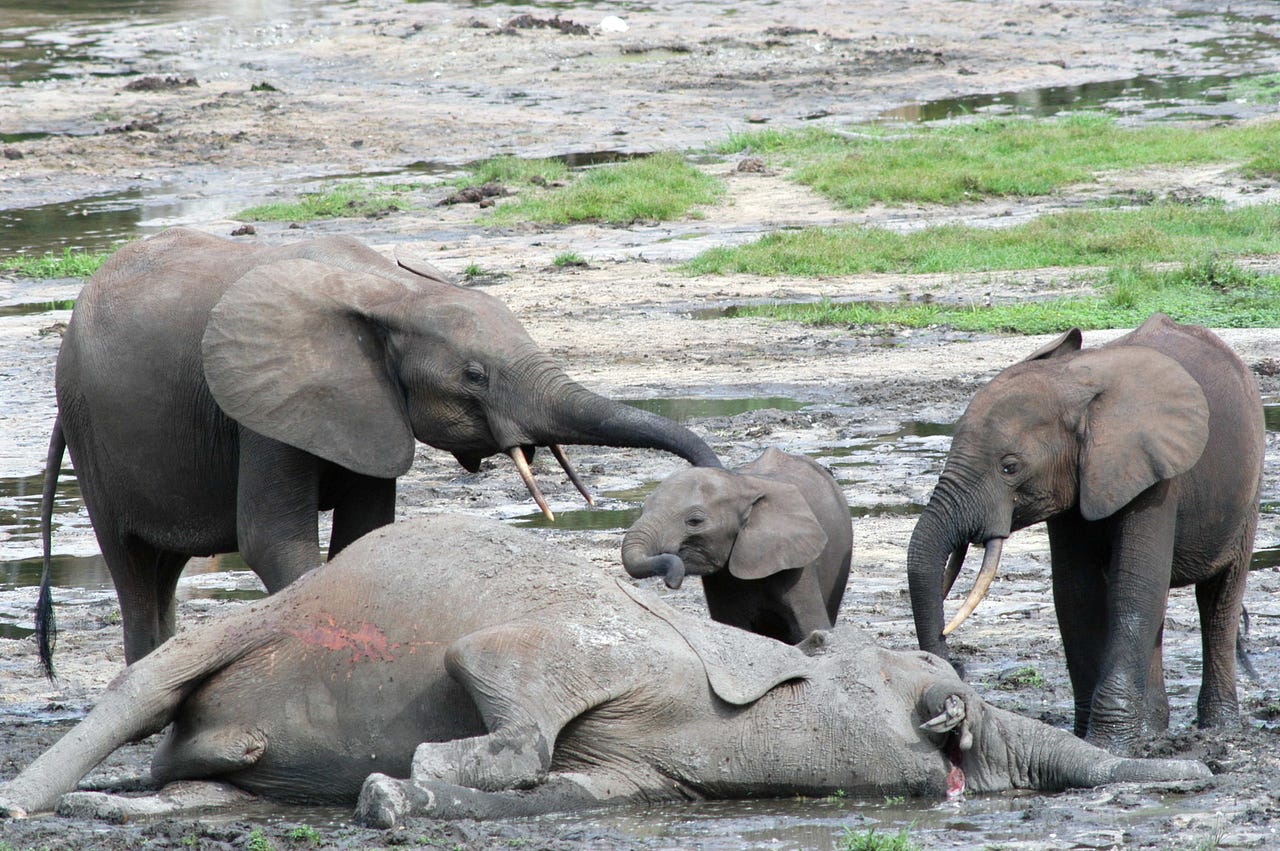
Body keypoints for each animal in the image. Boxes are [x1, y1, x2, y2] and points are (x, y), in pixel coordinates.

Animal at [0, 511, 1208, 824]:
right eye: (932, 702)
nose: (1193, 772)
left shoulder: (640, 767)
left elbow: (560, 781)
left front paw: (398, 790)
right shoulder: (593, 646)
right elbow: (500, 679)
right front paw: (409, 780)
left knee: (191, 779)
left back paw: (127, 802)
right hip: (270, 619)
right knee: (149, 681)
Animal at [40, 225, 721, 670]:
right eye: (475, 375)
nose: (681, 561)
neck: (392, 295)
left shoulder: (367, 405)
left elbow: (365, 535)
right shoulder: (262, 406)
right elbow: (272, 540)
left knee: (160, 573)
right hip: (89, 429)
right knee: (131, 566)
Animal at [906, 312, 1264, 752]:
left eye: (1010, 467)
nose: (954, 666)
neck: (1077, 385)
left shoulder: (1158, 479)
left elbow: (1134, 588)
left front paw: (1108, 744)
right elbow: (1075, 593)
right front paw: (1089, 738)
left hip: (1248, 488)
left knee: (1218, 600)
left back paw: (1217, 729)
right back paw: (1154, 730)